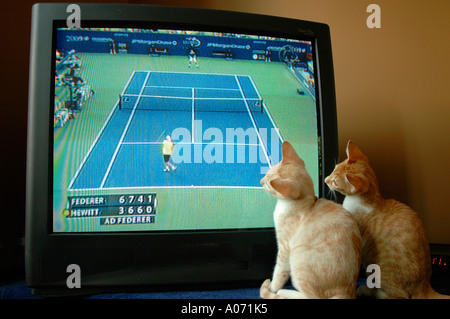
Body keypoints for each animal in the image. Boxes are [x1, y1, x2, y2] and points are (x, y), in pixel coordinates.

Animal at [258, 141, 360, 298]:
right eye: (266, 173)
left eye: (269, 184)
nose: (261, 181)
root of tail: (347, 291)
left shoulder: (284, 247)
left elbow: (279, 272)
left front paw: (272, 288)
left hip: (298, 263)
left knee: (311, 296)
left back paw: (284, 292)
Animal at [326, 141, 448, 300]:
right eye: (334, 169)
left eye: (335, 182)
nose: (325, 179)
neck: (371, 201)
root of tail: (424, 287)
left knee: (396, 295)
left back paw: (365, 289)